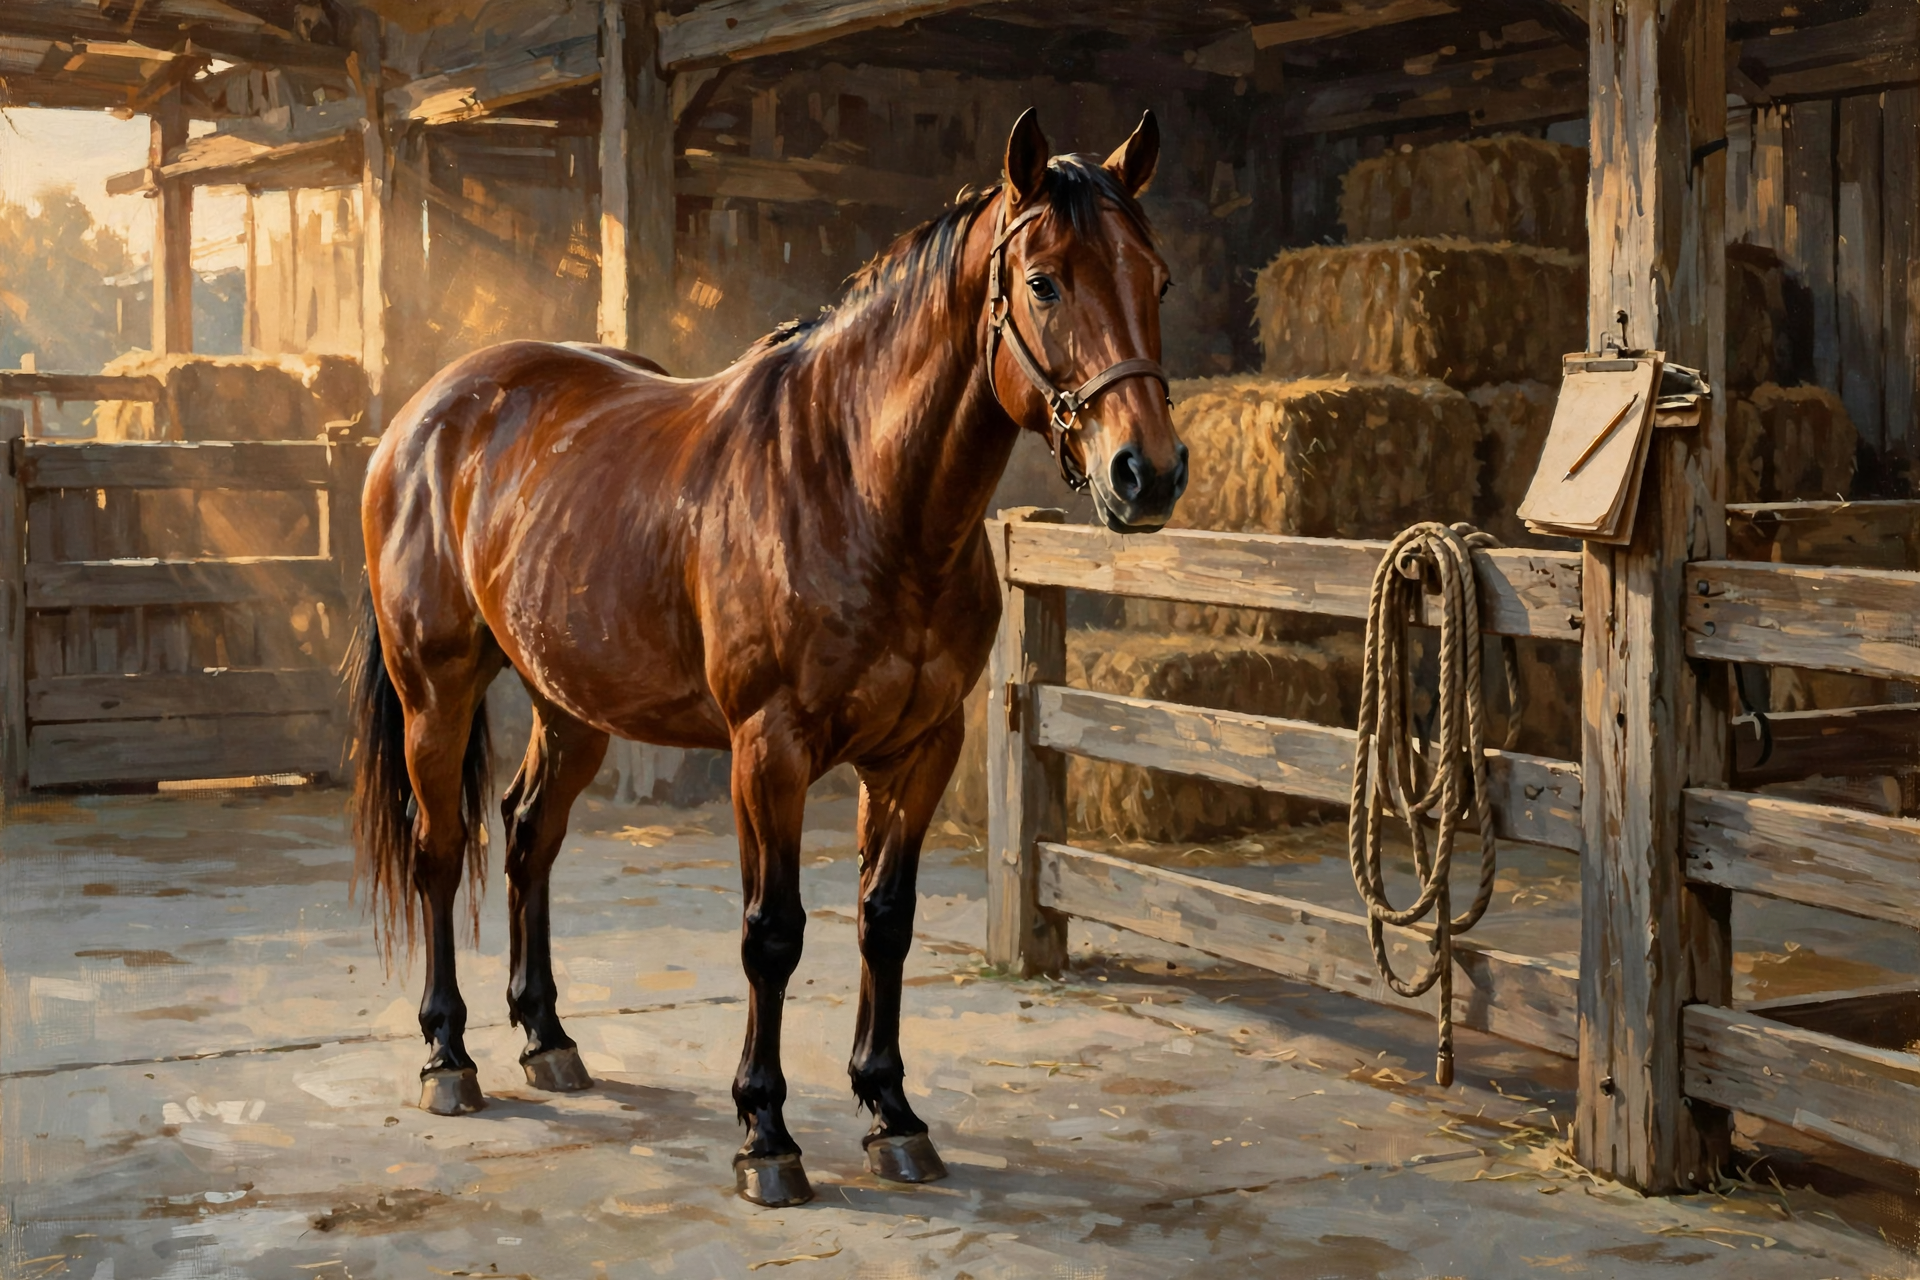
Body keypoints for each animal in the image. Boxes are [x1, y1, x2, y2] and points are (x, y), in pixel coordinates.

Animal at [347, 107, 1188, 1208]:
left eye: (1156, 279)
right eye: (1045, 281)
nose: (1149, 474)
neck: (859, 488)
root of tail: (424, 417)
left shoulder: (921, 750)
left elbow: (885, 920)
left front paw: (892, 1113)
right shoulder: (770, 750)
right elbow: (772, 932)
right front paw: (766, 1134)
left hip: (569, 702)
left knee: (529, 834)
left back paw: (548, 1037)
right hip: (435, 691)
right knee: (443, 850)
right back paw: (449, 1056)